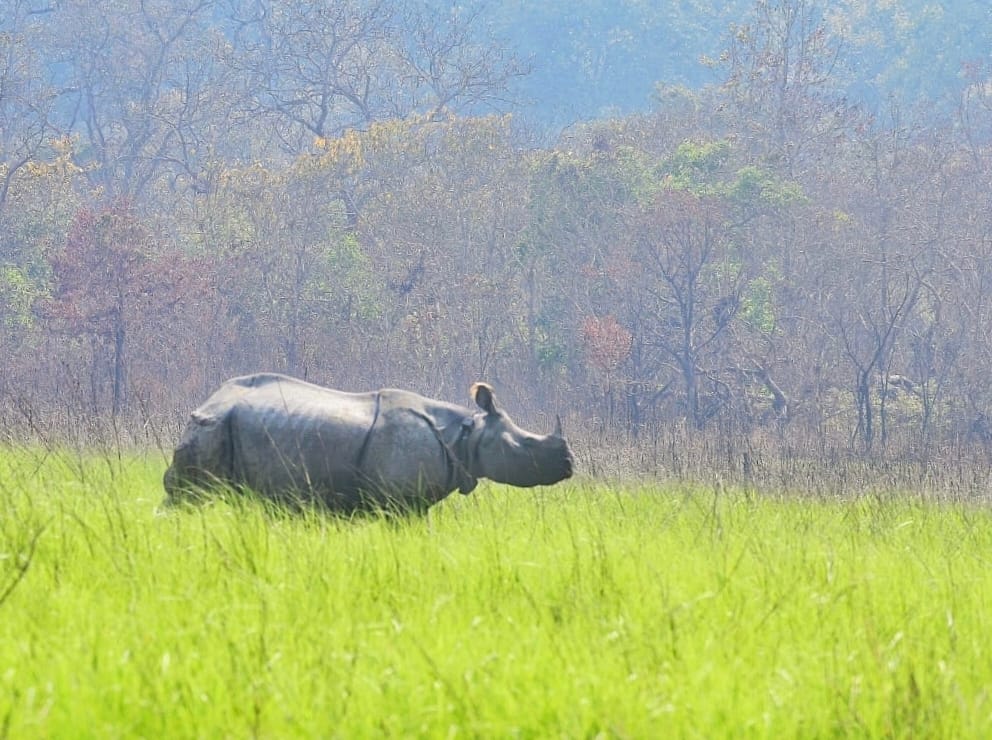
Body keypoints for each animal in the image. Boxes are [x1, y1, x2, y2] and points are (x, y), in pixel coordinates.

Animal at [163, 373, 574, 513]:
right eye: (526, 444)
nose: (569, 464)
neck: (466, 433)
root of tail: (208, 402)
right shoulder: (400, 505)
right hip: (212, 427)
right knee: (192, 496)